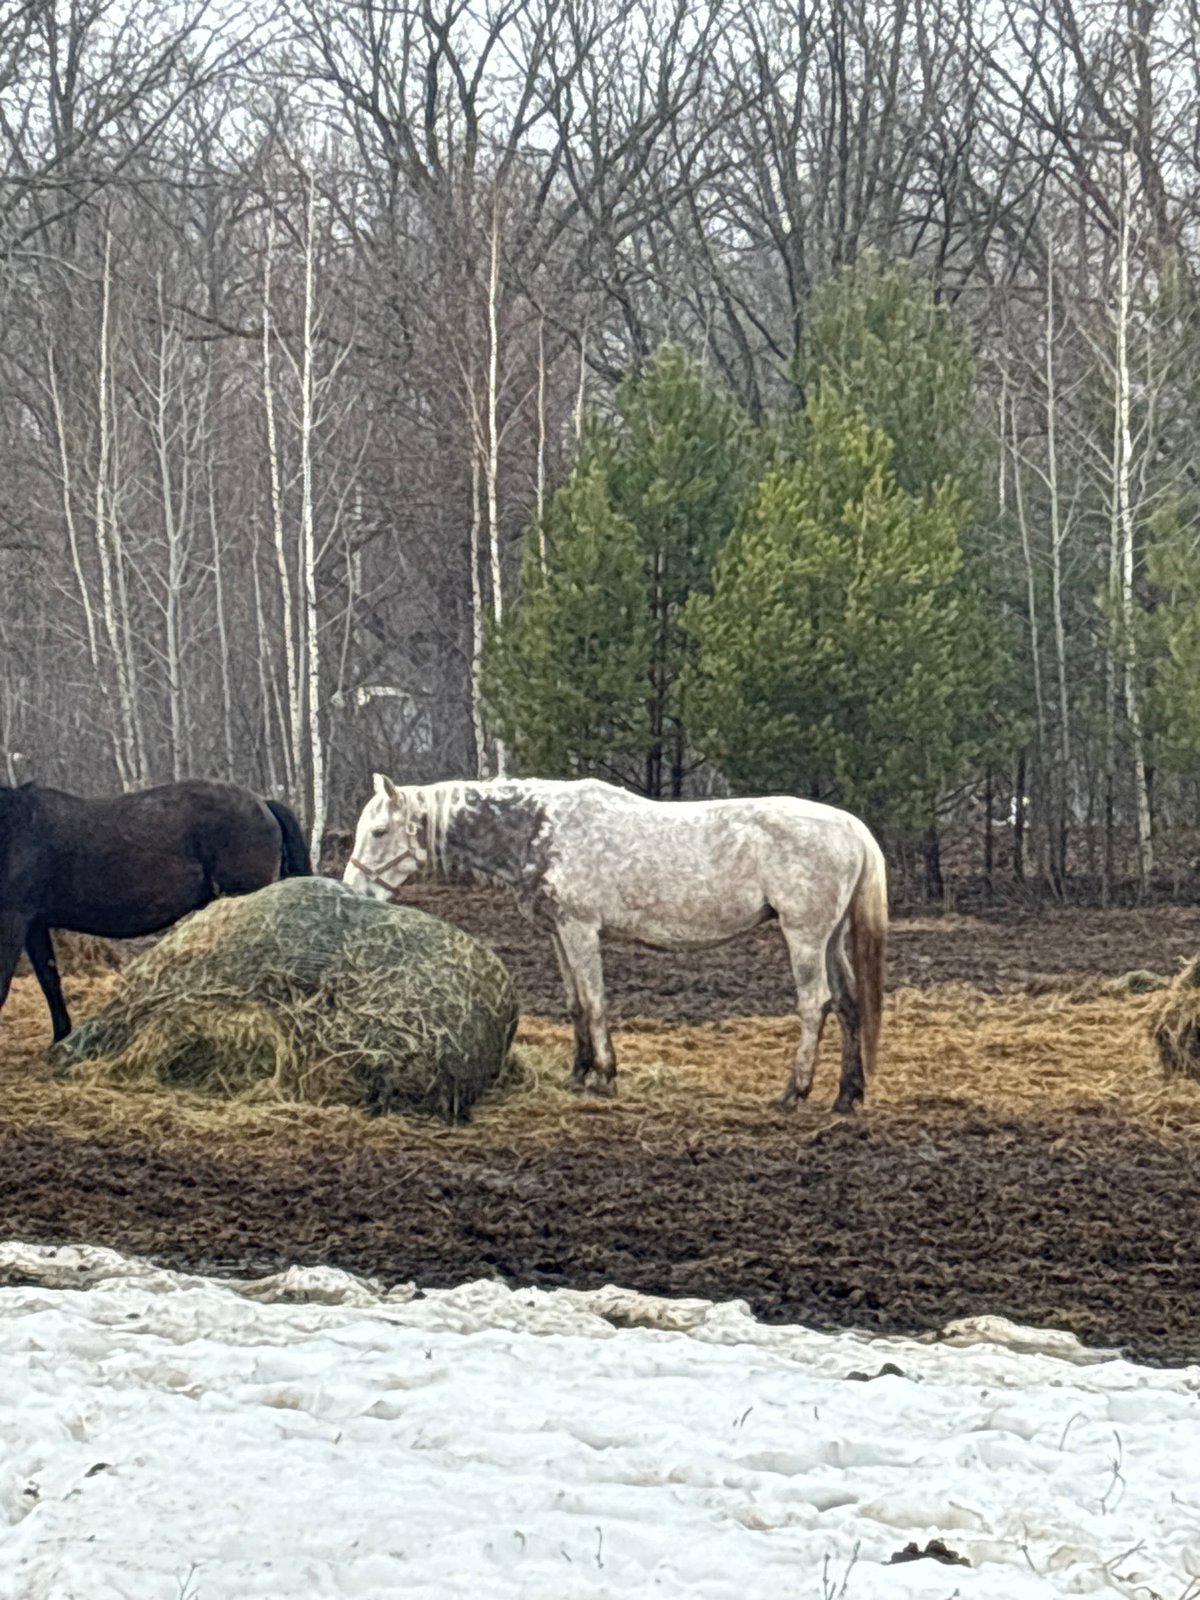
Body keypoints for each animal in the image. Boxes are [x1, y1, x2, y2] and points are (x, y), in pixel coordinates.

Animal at [0, 779, 312, 1042]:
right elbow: (49, 980)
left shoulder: (13, 921)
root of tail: (263, 803)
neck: (13, 829)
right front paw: (60, 1038)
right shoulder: (33, 925)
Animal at [343, 773, 887, 1113]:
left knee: (815, 1005)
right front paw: (578, 1072)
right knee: (848, 1004)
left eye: (380, 830)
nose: (354, 891)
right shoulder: (559, 932)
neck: (540, 829)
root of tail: (852, 827)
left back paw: (794, 1092)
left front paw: (604, 1075)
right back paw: (846, 1095)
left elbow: (596, 1002)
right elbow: (575, 1004)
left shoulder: (582, 928)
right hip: (831, 939)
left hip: (804, 935)